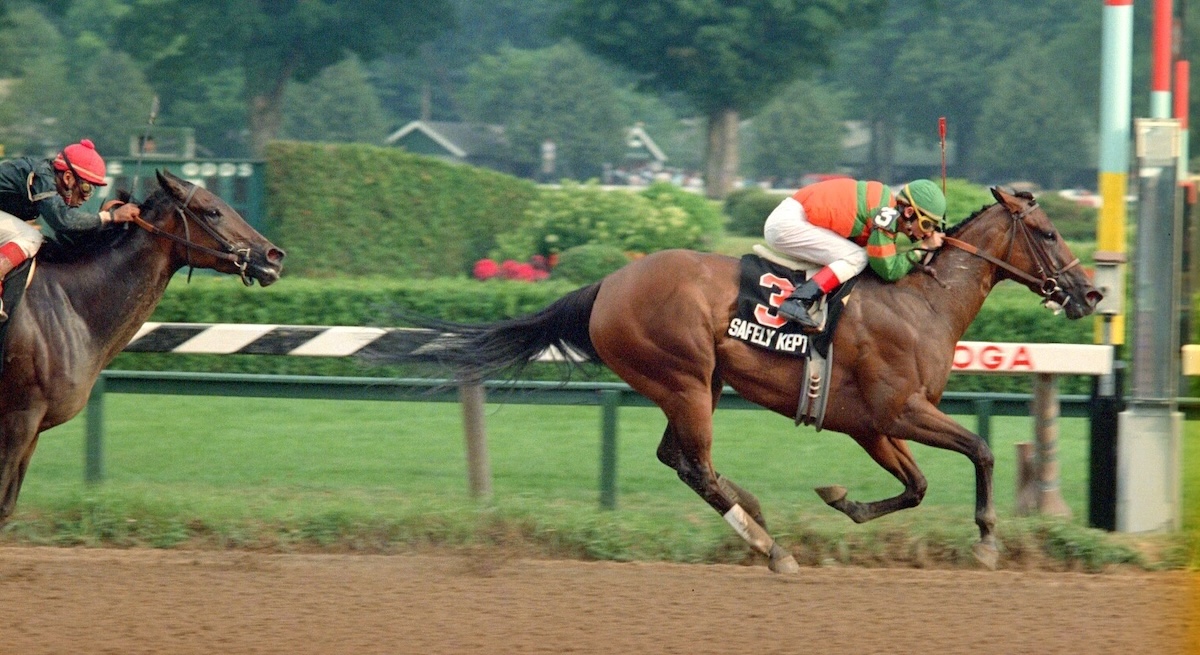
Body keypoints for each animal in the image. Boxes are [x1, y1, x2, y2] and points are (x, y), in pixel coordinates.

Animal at [400, 185, 1099, 568]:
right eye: (1048, 232)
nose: (1090, 294)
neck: (921, 302)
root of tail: (608, 284)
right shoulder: (898, 411)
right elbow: (980, 450)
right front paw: (986, 540)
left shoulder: (869, 425)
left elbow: (917, 486)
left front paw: (842, 500)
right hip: (683, 377)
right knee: (697, 466)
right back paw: (770, 547)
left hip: (697, 385)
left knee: (678, 459)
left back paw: (758, 515)